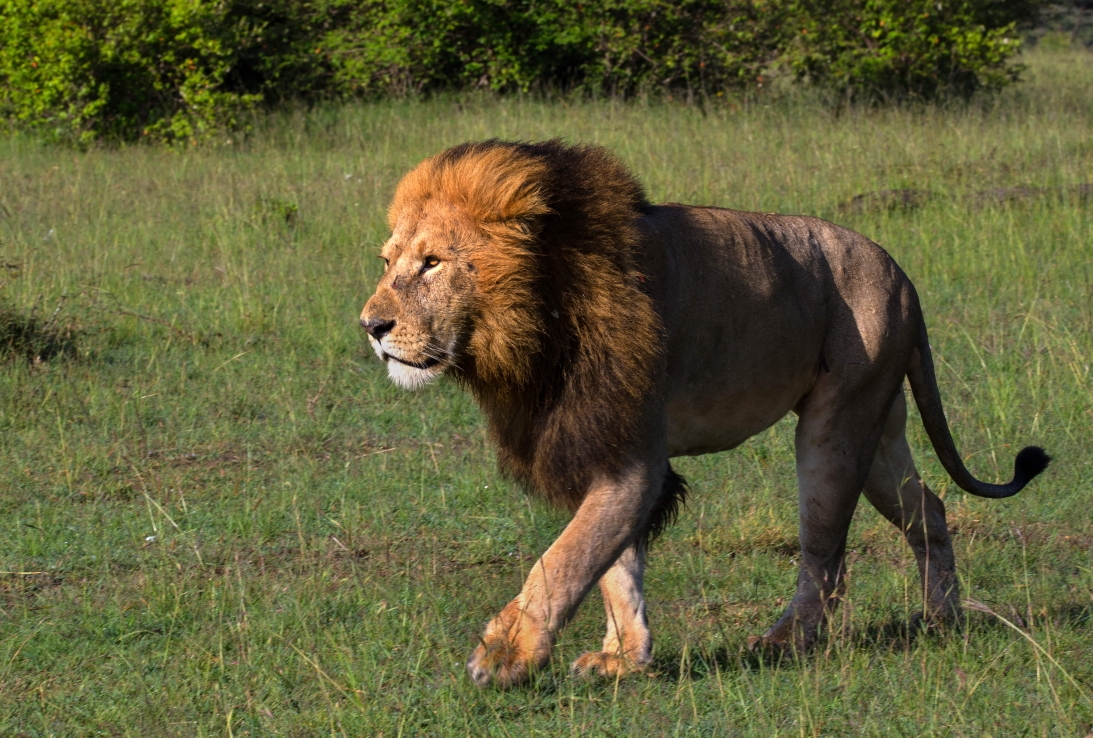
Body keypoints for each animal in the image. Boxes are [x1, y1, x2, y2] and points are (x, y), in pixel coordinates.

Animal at [360, 141, 1049, 690]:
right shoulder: (597, 447)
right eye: (387, 262)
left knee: (825, 552)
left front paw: (506, 655)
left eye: (432, 262)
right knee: (927, 508)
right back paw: (942, 618)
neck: (534, 324)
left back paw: (785, 641)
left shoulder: (632, 455)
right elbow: (615, 569)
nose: (371, 327)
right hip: (880, 427)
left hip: (835, 425)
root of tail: (901, 273)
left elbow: (564, 560)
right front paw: (624, 659)